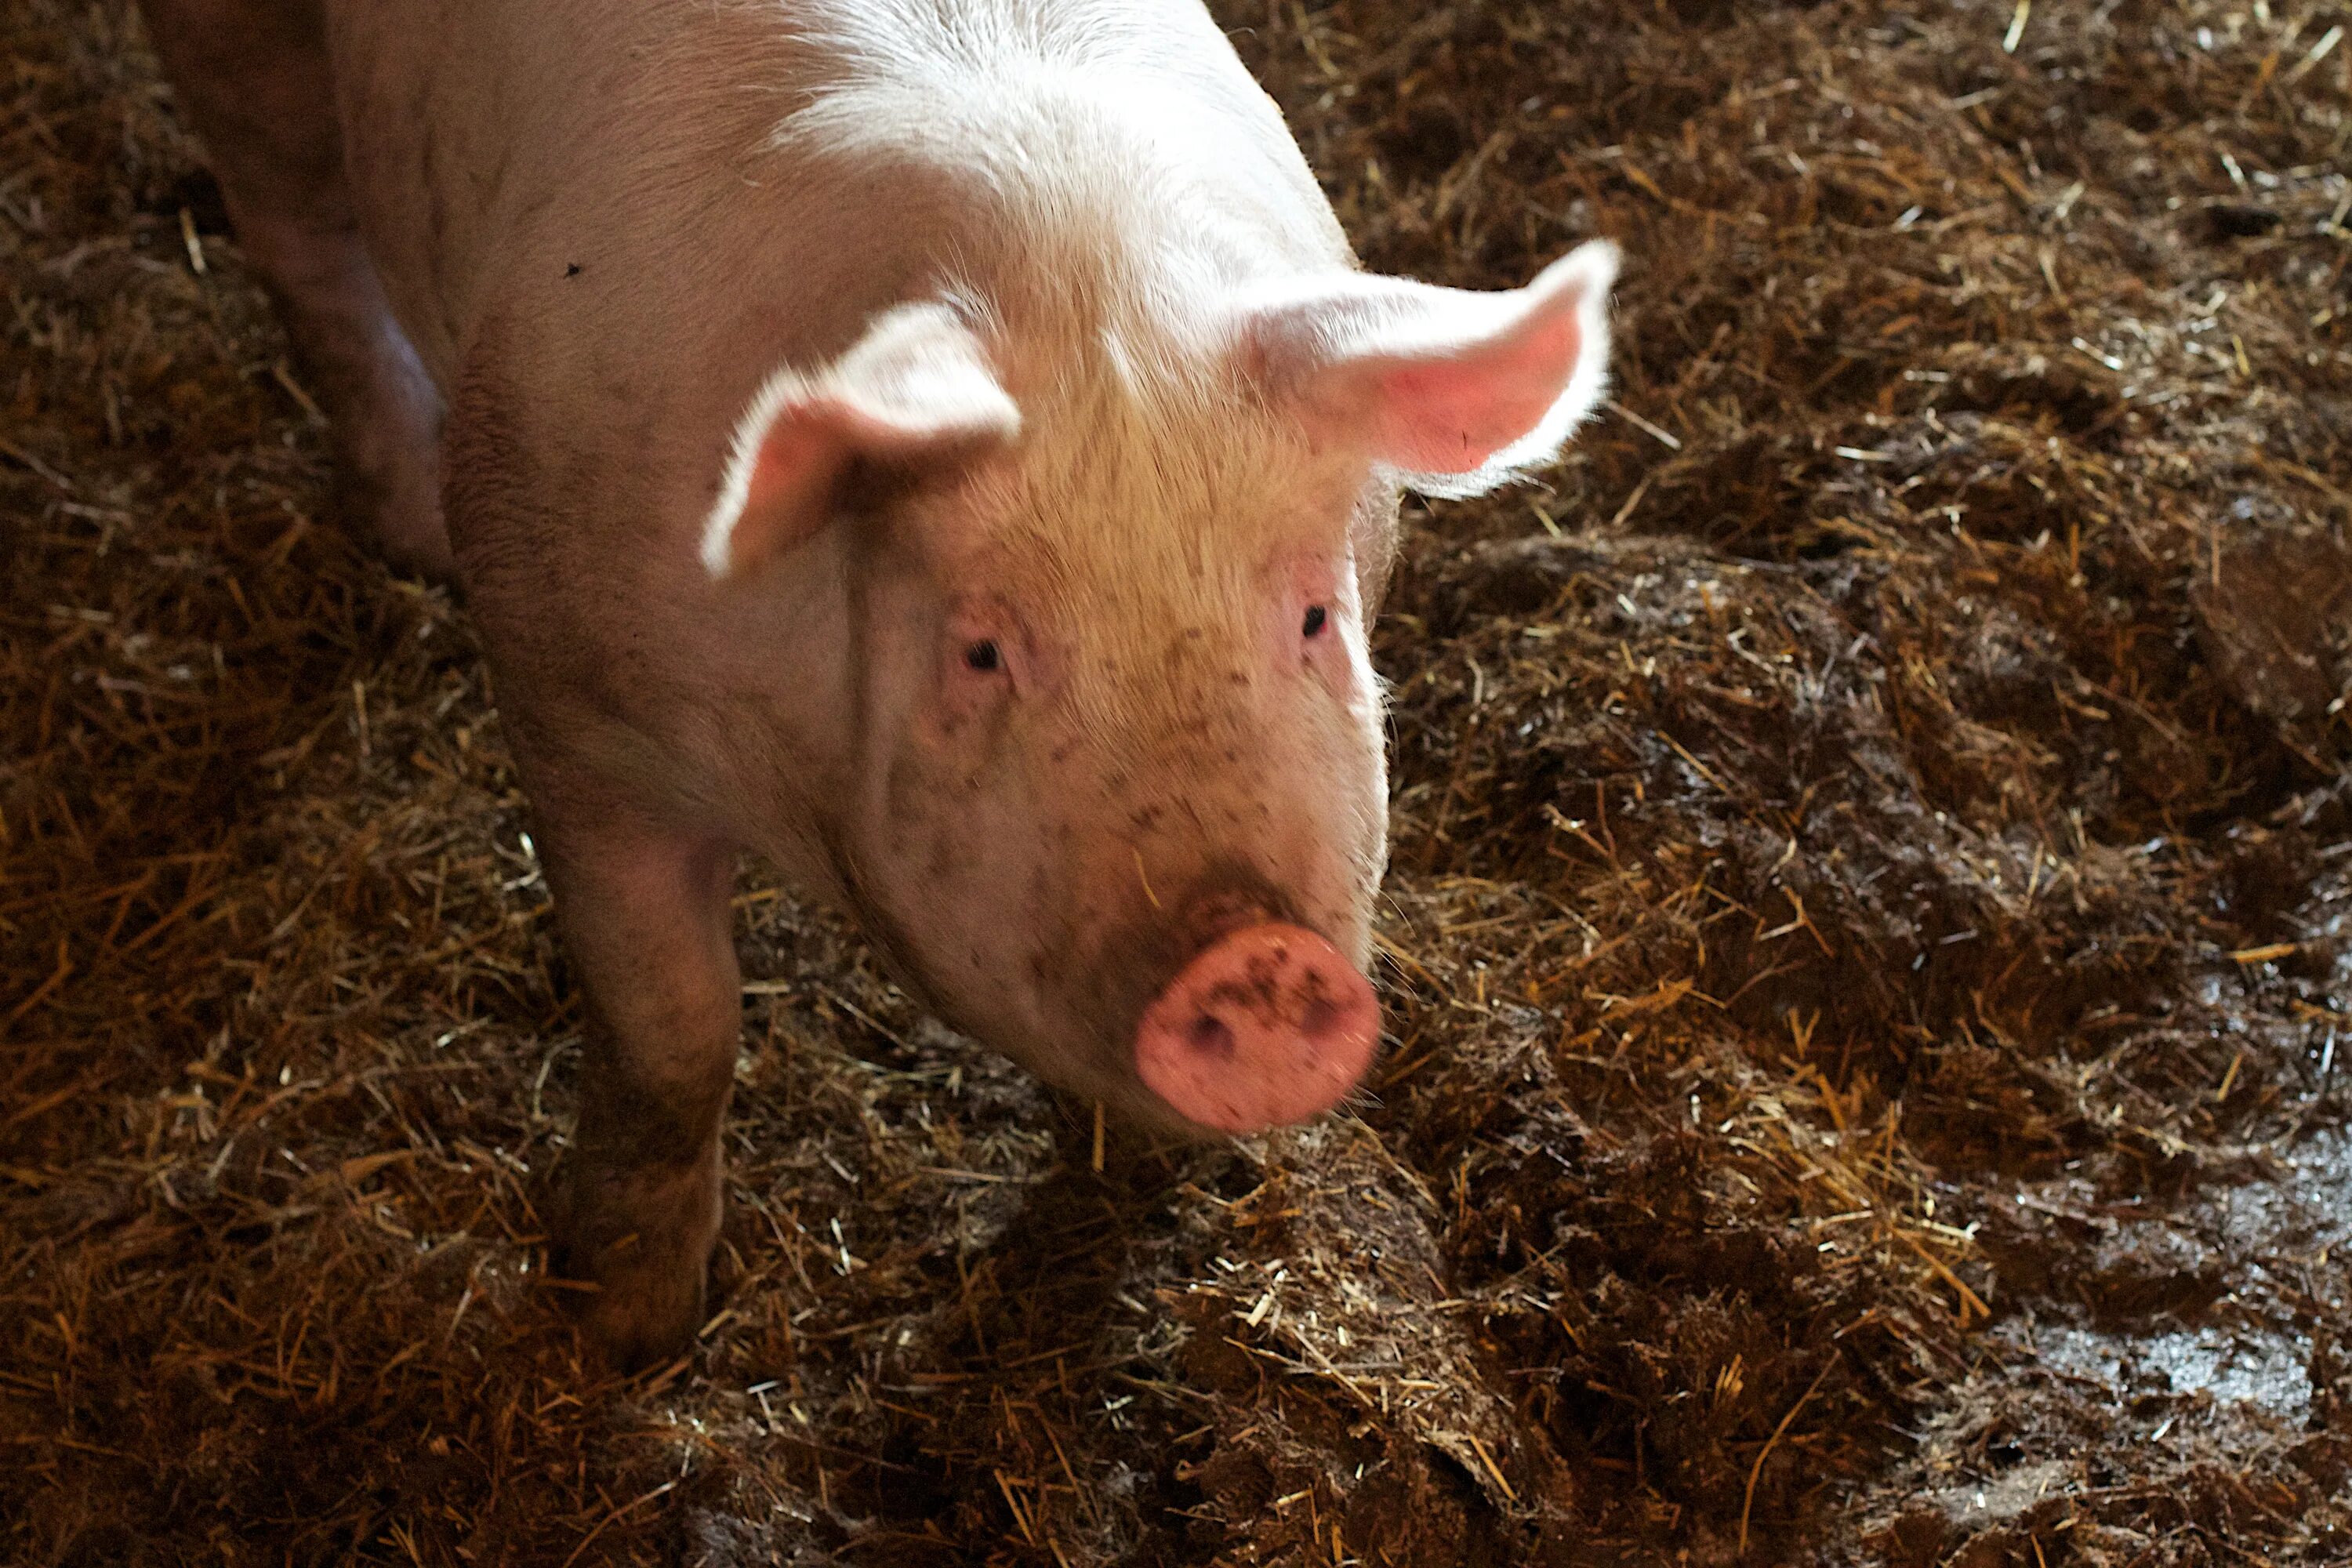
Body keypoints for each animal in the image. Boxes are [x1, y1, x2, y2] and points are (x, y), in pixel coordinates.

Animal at [142, 0, 1618, 1363]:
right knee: (300, 241)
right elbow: (674, 1028)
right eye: (982, 649)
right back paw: (412, 529)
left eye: (1314, 616)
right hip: (244, 52)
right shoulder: (569, 711)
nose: (1255, 960)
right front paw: (624, 1329)